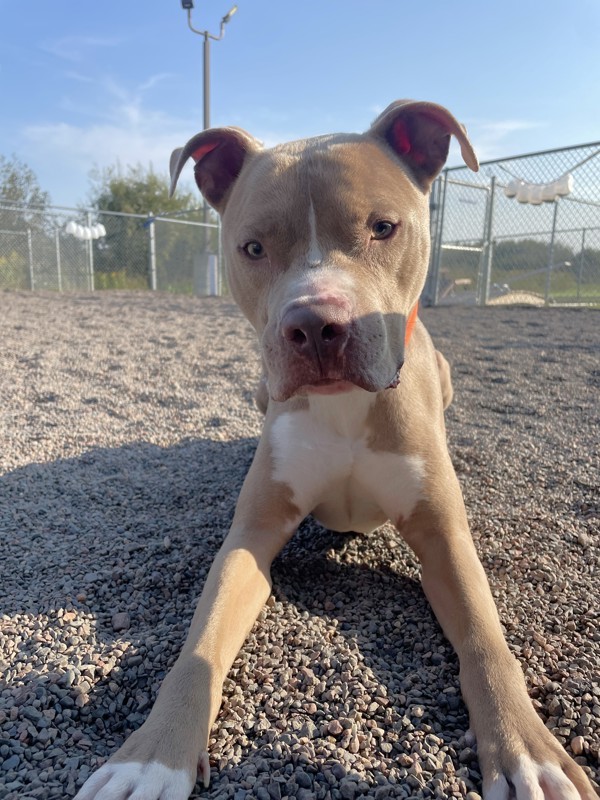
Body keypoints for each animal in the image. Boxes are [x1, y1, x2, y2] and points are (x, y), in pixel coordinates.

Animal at [75, 100, 596, 800]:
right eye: (253, 247)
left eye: (383, 228)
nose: (316, 325)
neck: (346, 403)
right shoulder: (250, 535)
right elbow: (198, 647)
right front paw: (150, 758)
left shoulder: (445, 536)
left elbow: (488, 640)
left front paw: (529, 752)